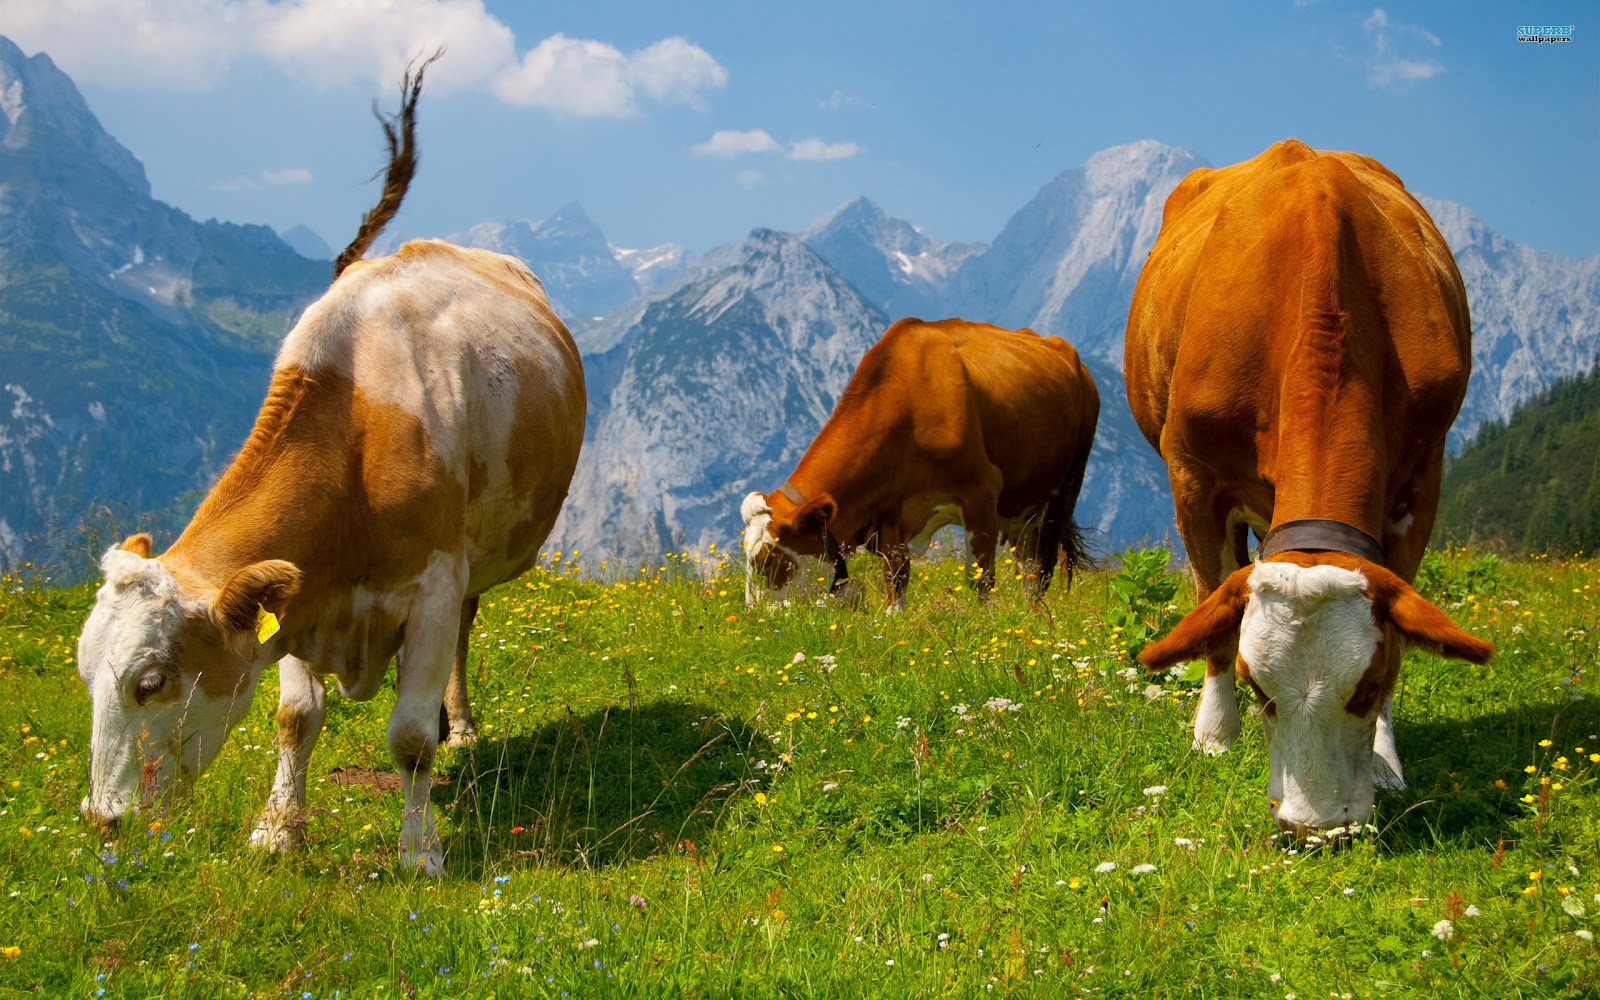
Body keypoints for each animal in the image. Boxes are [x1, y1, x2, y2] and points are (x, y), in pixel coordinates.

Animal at [74, 60, 587, 876]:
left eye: (151, 681)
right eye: (86, 672)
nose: (104, 821)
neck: (357, 443)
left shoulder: (434, 585)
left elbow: (410, 738)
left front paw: (419, 851)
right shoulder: (296, 597)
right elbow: (294, 716)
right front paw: (278, 828)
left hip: (473, 564)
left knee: (464, 637)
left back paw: (463, 726)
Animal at [742, 317, 1099, 609]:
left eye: (765, 561)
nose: (754, 615)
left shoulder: (981, 492)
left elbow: (981, 579)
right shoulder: (889, 512)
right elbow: (896, 578)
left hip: (1064, 491)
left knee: (1041, 568)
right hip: (1020, 508)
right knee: (1028, 566)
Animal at [1124, 139, 1493, 837]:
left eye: (1369, 686)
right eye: (1258, 688)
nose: (1317, 826)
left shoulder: (1423, 475)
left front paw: (1386, 761)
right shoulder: (1192, 475)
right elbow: (1215, 608)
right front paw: (1215, 733)